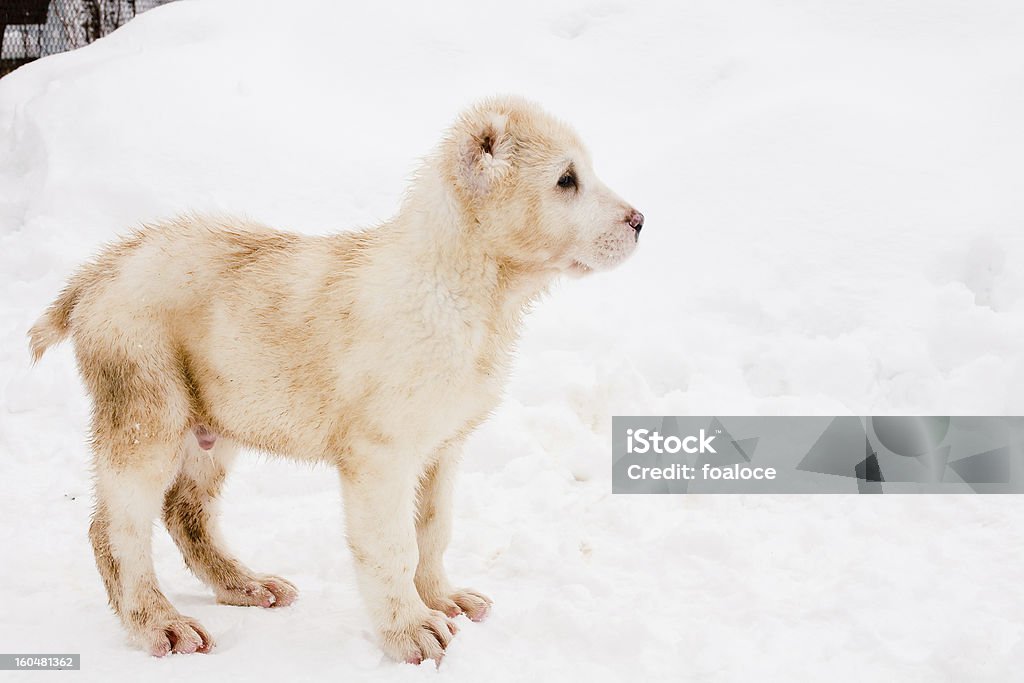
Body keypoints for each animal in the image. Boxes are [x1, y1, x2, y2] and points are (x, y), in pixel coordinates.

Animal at [28, 94, 643, 663]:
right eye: (566, 180)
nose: (640, 221)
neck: (463, 289)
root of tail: (101, 268)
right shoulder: (380, 453)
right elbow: (393, 545)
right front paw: (410, 632)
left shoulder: (444, 446)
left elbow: (433, 529)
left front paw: (442, 599)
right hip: (145, 407)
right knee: (117, 527)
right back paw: (160, 624)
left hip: (212, 422)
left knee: (185, 509)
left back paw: (246, 585)